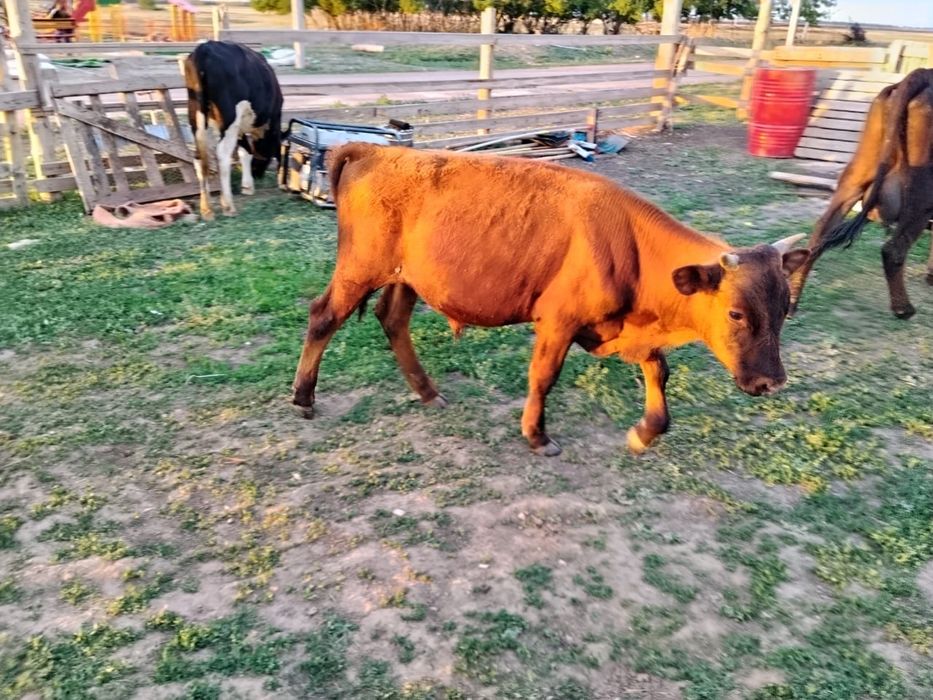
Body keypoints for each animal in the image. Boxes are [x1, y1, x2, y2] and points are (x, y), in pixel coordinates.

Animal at [183, 41, 284, 220]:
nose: (257, 173)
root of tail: (205, 48)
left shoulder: (240, 128)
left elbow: (245, 151)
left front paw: (247, 186)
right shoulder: (273, 120)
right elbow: (267, 150)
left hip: (196, 115)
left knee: (199, 157)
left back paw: (206, 209)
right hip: (229, 119)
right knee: (222, 155)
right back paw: (228, 206)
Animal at [291, 144, 810, 456]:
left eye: (784, 309)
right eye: (736, 312)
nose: (771, 382)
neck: (629, 241)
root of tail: (377, 150)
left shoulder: (625, 328)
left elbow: (658, 369)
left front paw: (646, 431)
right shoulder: (558, 322)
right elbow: (543, 377)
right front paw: (537, 435)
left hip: (406, 279)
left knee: (392, 320)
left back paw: (428, 391)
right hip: (359, 271)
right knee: (323, 317)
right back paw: (303, 397)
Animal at [789, 68, 933, 319]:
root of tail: (921, 74)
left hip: (856, 175)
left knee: (820, 231)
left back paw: (792, 302)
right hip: (923, 192)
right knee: (893, 249)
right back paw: (903, 309)